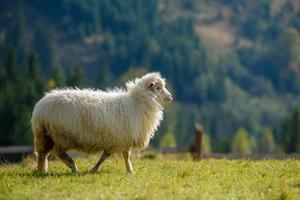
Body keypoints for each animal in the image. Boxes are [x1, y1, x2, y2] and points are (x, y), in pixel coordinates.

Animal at [30, 72, 172, 173]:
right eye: (158, 88)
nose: (170, 97)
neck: (138, 103)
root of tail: (40, 107)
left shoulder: (117, 139)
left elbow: (107, 156)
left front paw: (95, 169)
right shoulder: (123, 138)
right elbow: (125, 155)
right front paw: (130, 170)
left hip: (44, 134)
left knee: (42, 153)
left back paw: (42, 170)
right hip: (62, 135)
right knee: (57, 152)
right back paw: (73, 167)